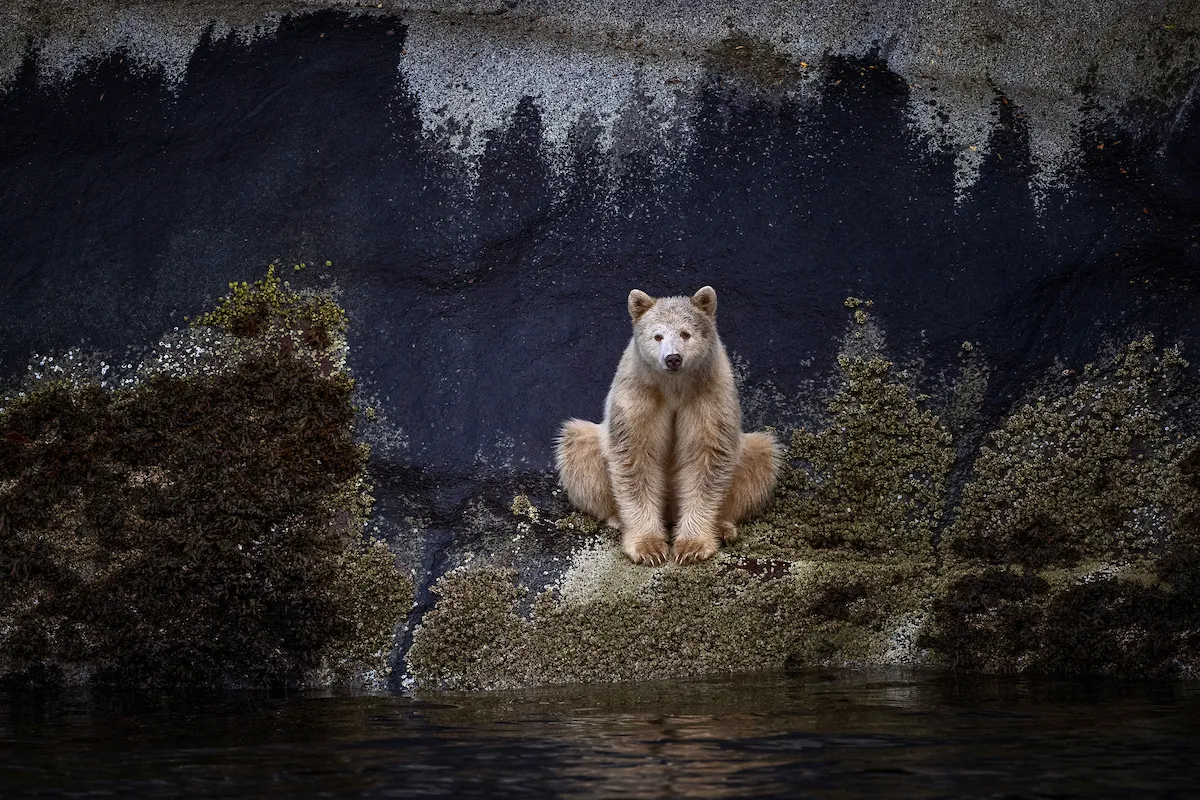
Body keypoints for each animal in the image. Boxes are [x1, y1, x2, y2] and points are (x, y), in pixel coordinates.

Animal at [555, 286, 781, 565]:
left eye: (685, 333)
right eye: (657, 336)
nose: (673, 358)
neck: (674, 386)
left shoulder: (708, 391)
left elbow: (707, 457)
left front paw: (692, 546)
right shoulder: (639, 392)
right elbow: (635, 456)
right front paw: (649, 547)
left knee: (761, 455)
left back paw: (724, 526)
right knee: (577, 445)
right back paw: (617, 519)